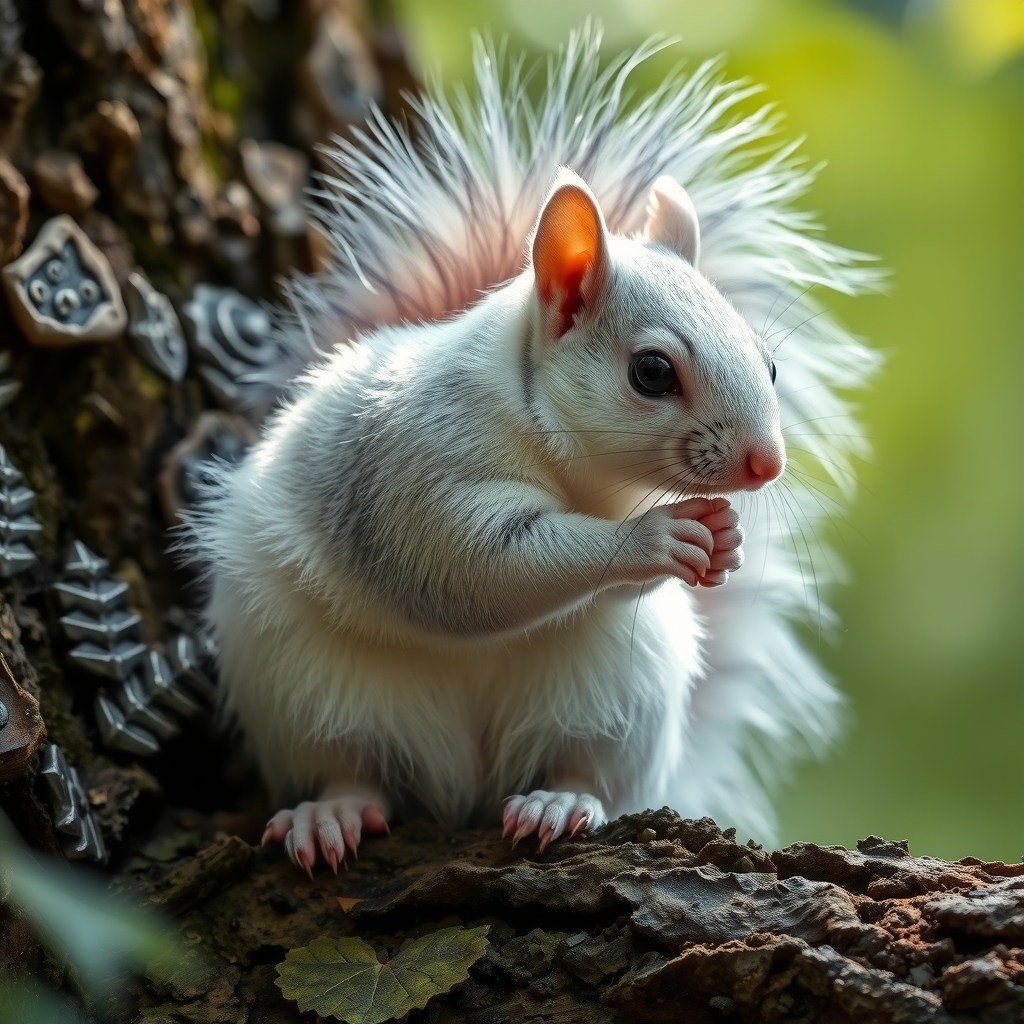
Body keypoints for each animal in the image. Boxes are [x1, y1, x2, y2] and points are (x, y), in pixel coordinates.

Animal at [186, 28, 880, 872]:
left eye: (769, 362)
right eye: (652, 372)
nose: (766, 465)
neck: (577, 468)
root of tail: (463, 786)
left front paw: (722, 541)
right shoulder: (418, 469)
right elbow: (476, 568)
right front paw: (657, 536)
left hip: (615, 699)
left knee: (587, 771)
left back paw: (559, 801)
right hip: (308, 697)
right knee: (352, 768)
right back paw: (332, 812)